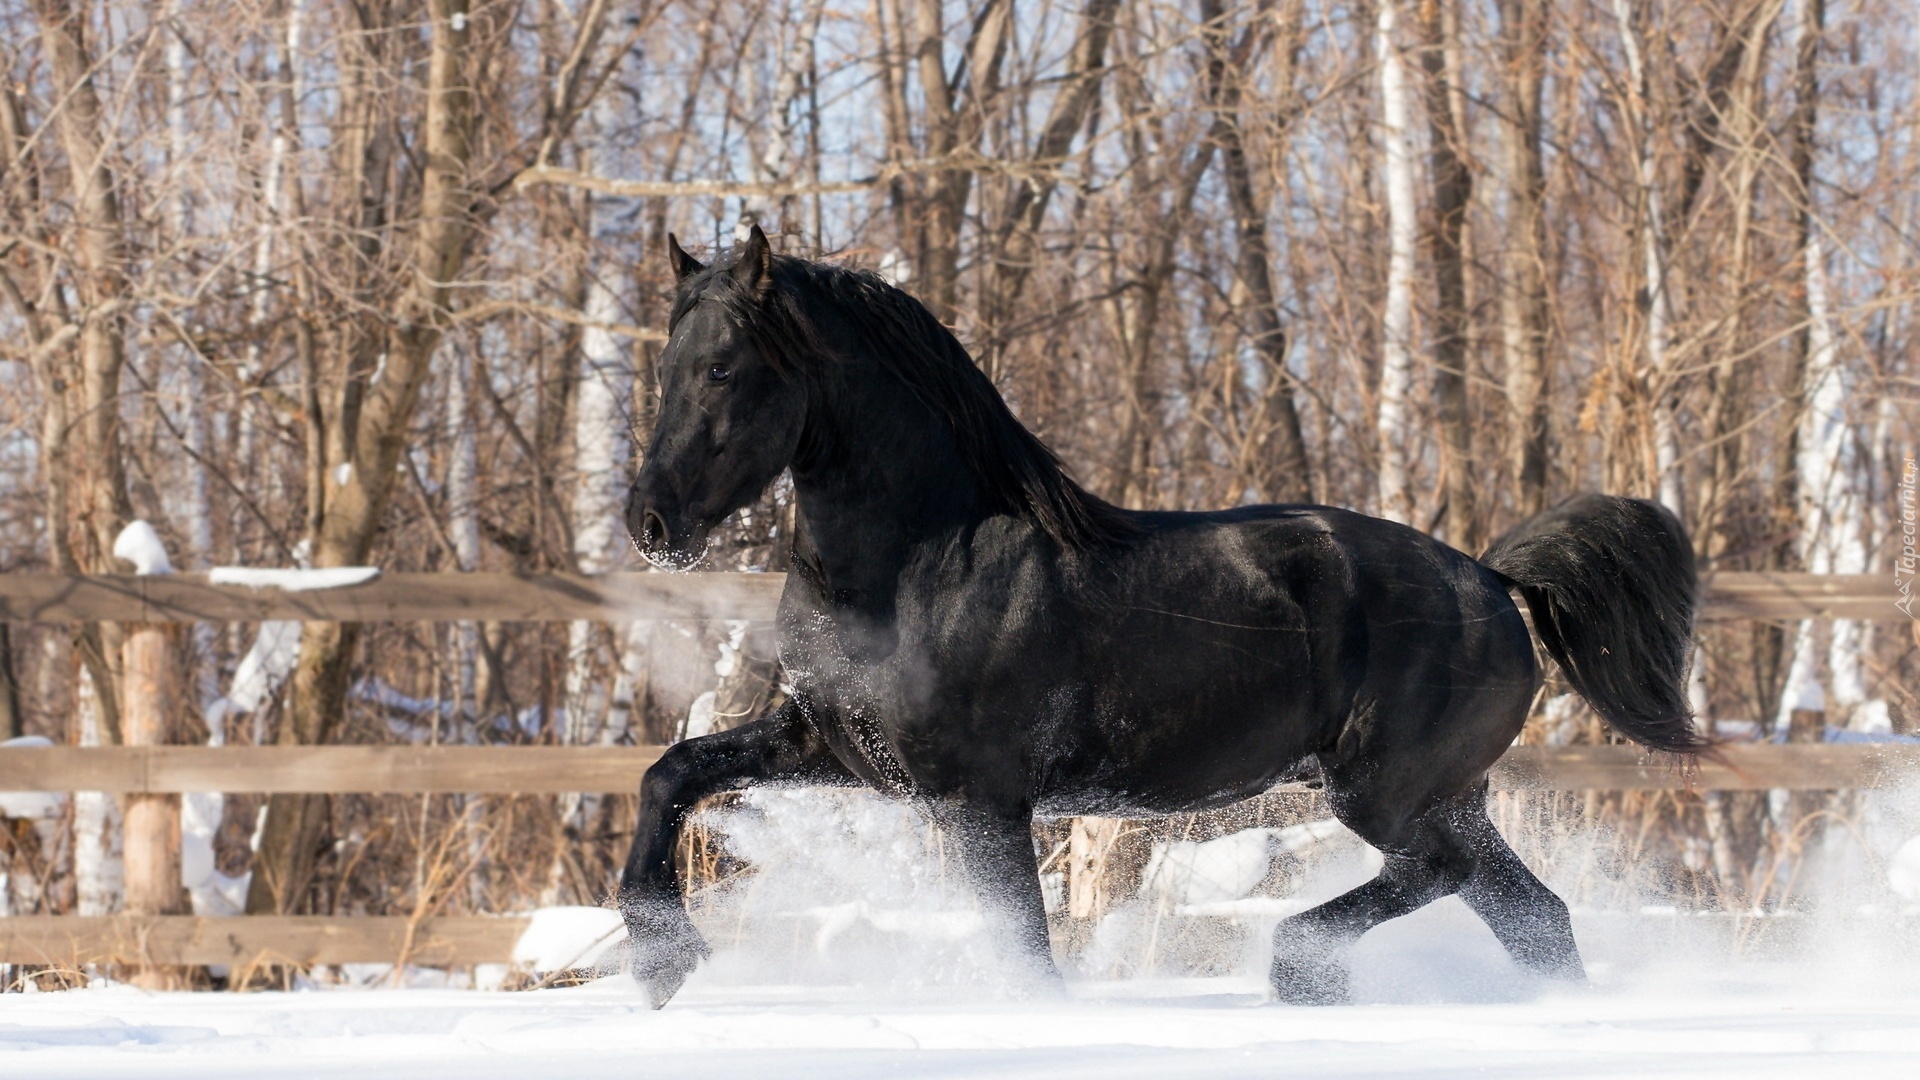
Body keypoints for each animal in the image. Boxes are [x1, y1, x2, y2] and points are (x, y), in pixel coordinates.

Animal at [610, 222, 1697, 1006]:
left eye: (723, 369)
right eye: (666, 369)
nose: (649, 521)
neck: (919, 563)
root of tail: (1491, 578)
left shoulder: (981, 799)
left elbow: (1026, 953)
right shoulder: (835, 748)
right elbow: (672, 773)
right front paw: (661, 960)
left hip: (1387, 792)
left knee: (1438, 873)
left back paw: (1299, 969)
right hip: (1448, 793)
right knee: (1535, 918)